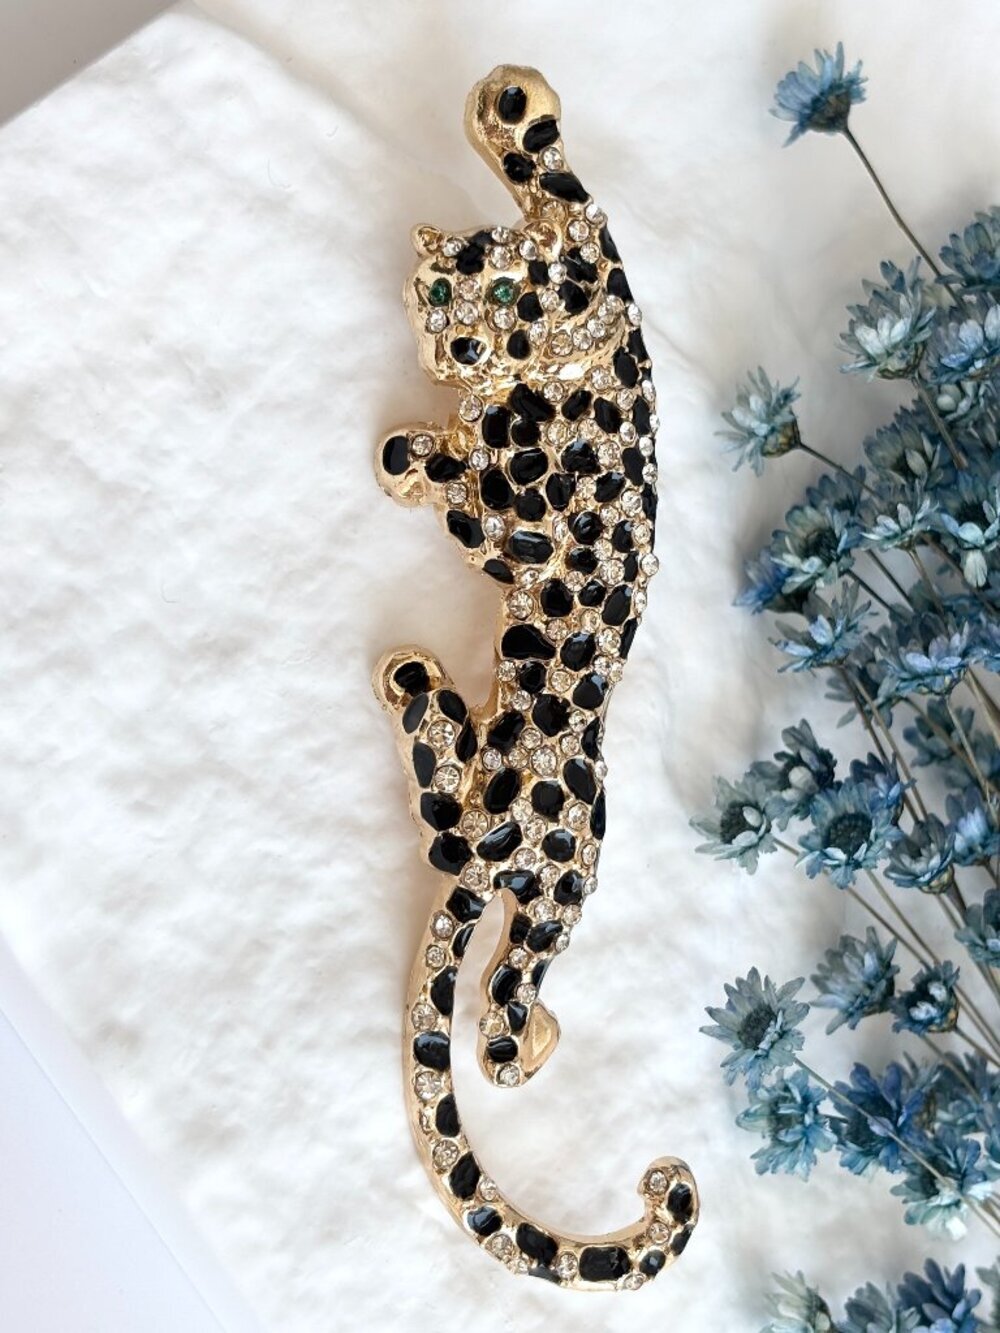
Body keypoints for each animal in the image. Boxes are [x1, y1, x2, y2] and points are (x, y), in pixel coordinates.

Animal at [373, 64, 698, 1291]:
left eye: (515, 289)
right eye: (438, 291)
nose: (458, 348)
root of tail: (503, 839)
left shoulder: (524, 532)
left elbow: (460, 491)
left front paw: (414, 454)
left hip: (556, 886)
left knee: (506, 1005)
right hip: (509, 846)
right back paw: (419, 692)